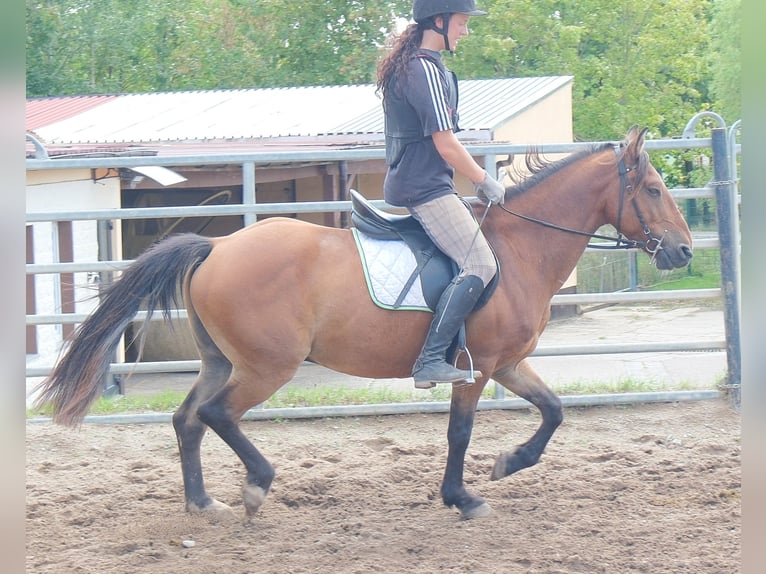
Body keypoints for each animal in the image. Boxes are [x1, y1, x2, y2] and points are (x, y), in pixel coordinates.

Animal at [34, 126, 693, 521]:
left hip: (222, 360)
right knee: (217, 414)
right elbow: (460, 433)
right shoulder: (475, 368)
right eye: (652, 189)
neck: (518, 251)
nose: (684, 252)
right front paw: (462, 497)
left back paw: (203, 502)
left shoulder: (508, 363)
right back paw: (256, 484)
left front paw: (509, 463)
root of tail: (216, 247)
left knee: (187, 418)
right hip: (267, 365)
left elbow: (554, 411)